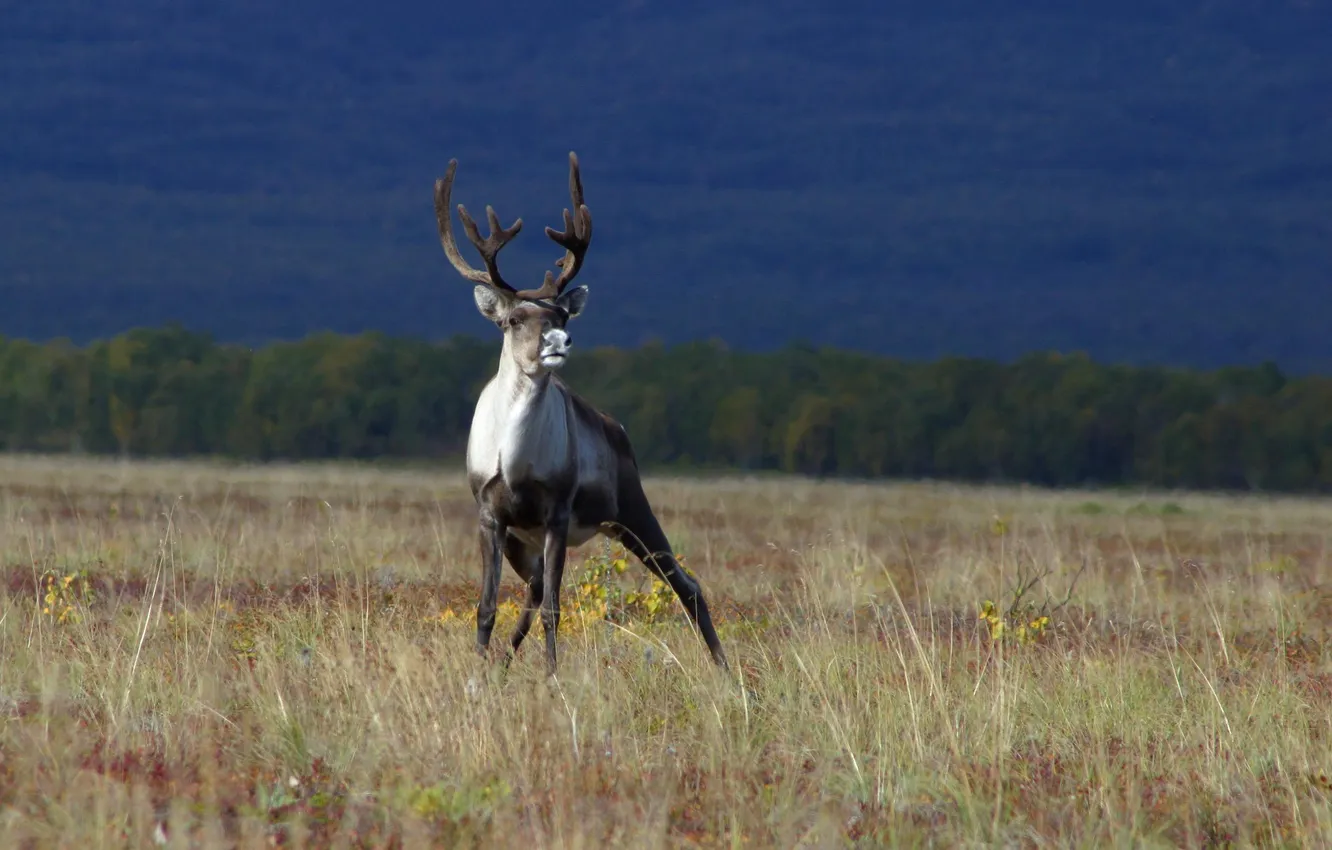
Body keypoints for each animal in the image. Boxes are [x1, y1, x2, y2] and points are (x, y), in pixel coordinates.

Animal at [433, 151, 729, 677]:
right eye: (513, 319)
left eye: (562, 316)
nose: (559, 342)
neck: (515, 458)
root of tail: (618, 427)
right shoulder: (492, 514)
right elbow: (487, 605)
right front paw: (477, 677)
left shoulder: (557, 511)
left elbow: (556, 607)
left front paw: (552, 677)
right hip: (527, 539)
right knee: (531, 591)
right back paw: (503, 666)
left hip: (631, 509)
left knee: (686, 584)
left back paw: (726, 672)